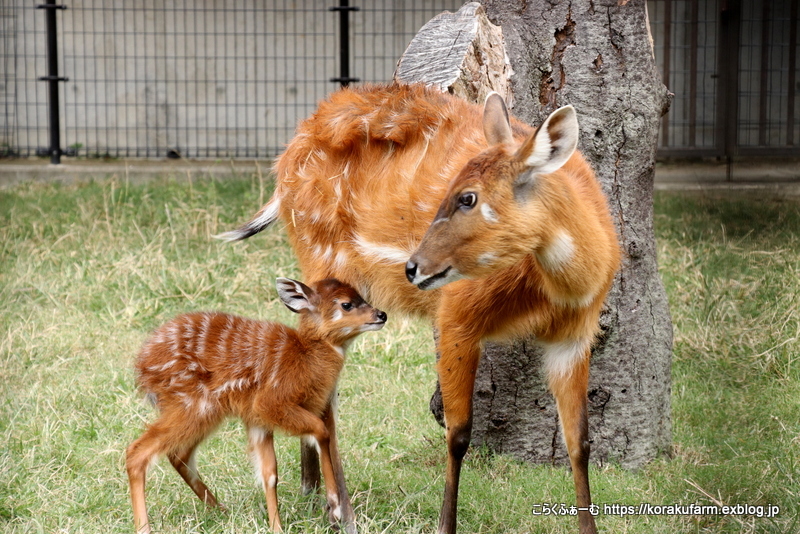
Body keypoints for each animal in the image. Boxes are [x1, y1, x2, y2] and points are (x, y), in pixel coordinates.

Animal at [126, 278, 388, 532]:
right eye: (346, 304)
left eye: (361, 296)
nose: (381, 315)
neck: (306, 359)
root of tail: (141, 366)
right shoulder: (271, 403)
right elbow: (321, 432)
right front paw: (334, 508)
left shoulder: (257, 420)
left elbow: (269, 474)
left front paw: (276, 527)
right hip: (192, 404)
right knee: (138, 452)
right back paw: (144, 527)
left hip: (202, 412)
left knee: (178, 453)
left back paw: (221, 511)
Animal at [219, 84, 620, 534]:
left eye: (468, 198)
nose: (413, 267)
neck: (556, 292)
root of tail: (284, 163)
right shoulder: (457, 316)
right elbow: (458, 434)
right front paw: (445, 525)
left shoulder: (574, 338)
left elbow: (579, 441)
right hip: (325, 263)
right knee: (328, 394)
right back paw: (342, 510)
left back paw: (314, 492)